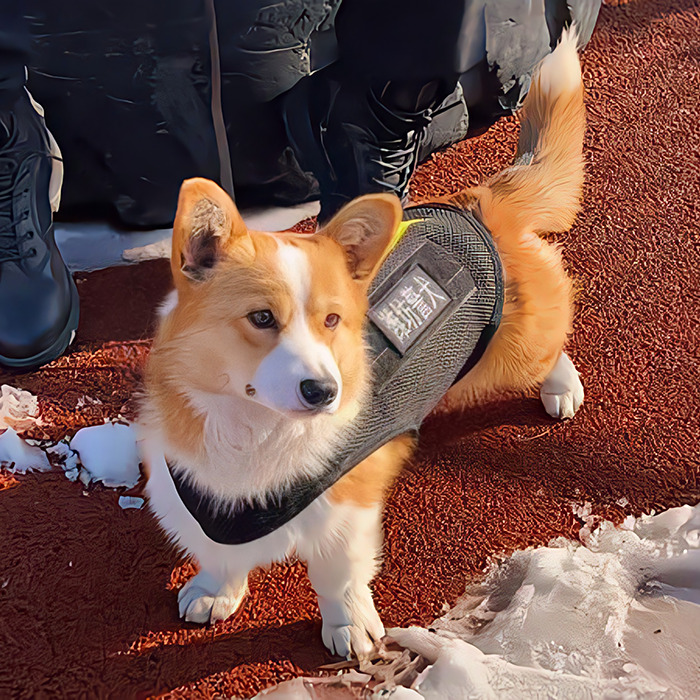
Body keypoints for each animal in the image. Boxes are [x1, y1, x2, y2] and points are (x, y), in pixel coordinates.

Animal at [139, 28, 588, 660]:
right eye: (261, 318)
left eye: (332, 320)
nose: (323, 392)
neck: (253, 432)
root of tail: (479, 203)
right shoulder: (194, 497)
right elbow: (218, 555)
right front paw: (213, 592)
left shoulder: (347, 512)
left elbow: (339, 577)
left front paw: (348, 627)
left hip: (517, 350)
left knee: (552, 341)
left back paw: (562, 387)